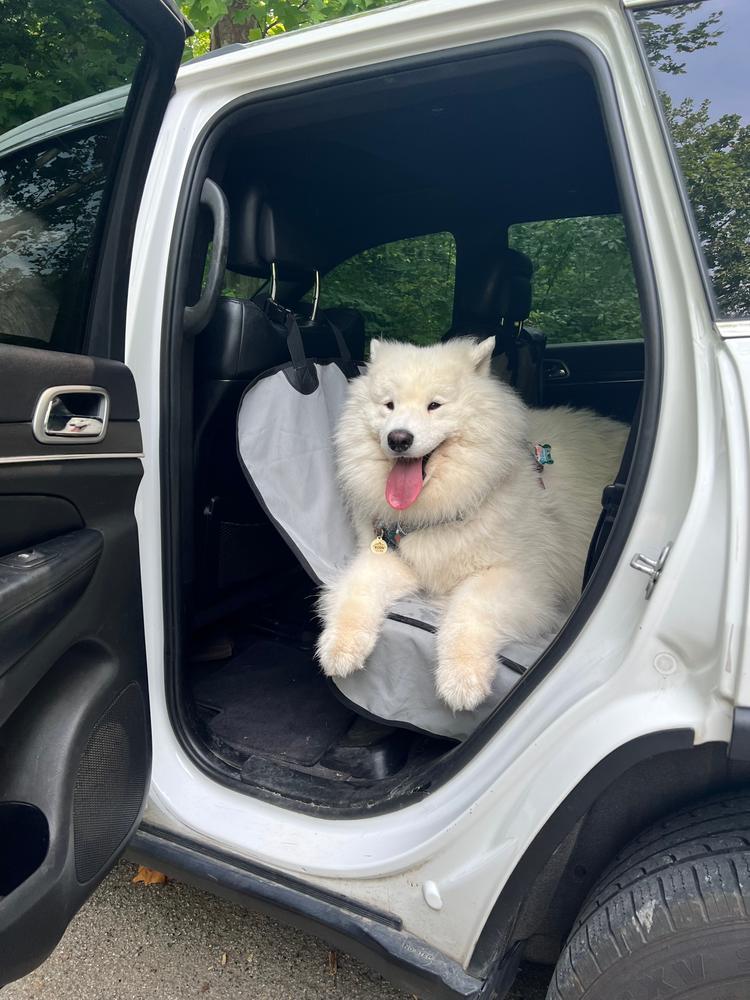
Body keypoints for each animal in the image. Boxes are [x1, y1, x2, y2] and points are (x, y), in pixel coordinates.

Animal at [318, 336, 628, 712]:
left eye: (434, 406)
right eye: (389, 405)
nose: (398, 439)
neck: (442, 507)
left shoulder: (519, 579)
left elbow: (470, 609)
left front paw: (461, 678)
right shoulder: (391, 556)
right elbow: (357, 588)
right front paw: (340, 646)